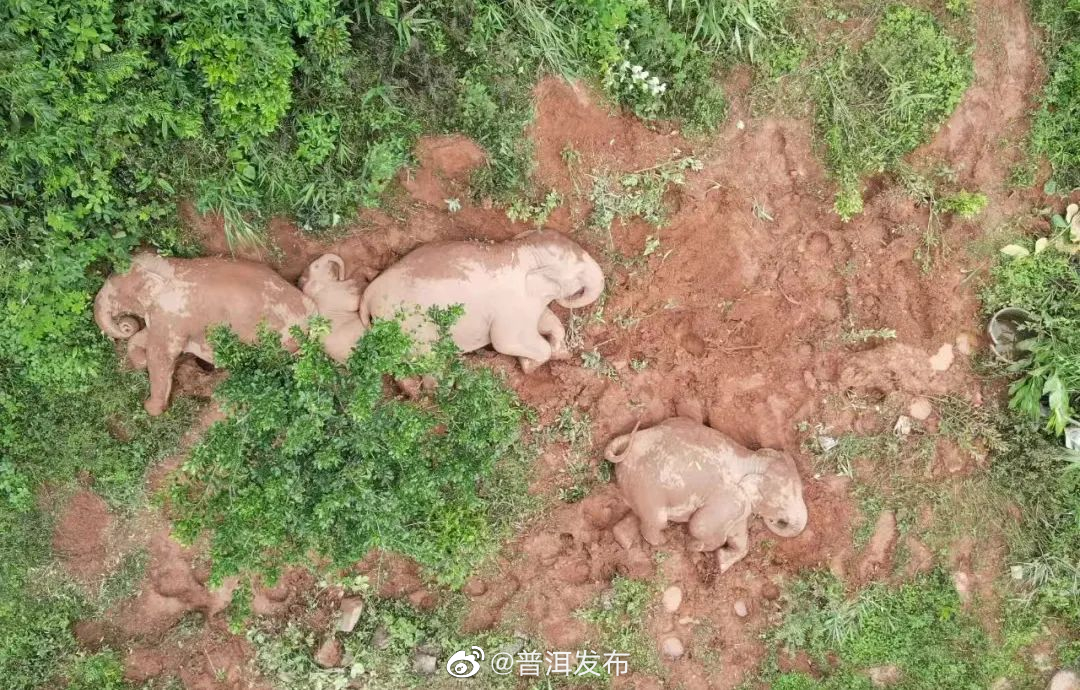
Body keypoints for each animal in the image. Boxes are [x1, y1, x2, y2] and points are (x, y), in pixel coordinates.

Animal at [94, 252, 316, 415]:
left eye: (113, 295)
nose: (126, 325)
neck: (165, 266)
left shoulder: (173, 314)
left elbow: (161, 354)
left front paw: (150, 407)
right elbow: (146, 338)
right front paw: (141, 362)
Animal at [358, 229, 605, 373]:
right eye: (579, 273)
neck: (522, 250)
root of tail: (369, 292)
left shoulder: (527, 302)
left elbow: (546, 320)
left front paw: (561, 353)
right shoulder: (512, 303)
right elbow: (504, 341)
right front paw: (528, 365)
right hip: (408, 324)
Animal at [604, 417, 807, 572]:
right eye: (782, 503)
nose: (774, 521)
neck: (753, 460)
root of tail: (633, 439)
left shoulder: (739, 507)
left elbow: (739, 538)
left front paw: (721, 562)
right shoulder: (730, 498)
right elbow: (698, 526)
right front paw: (695, 547)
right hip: (647, 490)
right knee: (656, 522)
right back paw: (664, 541)